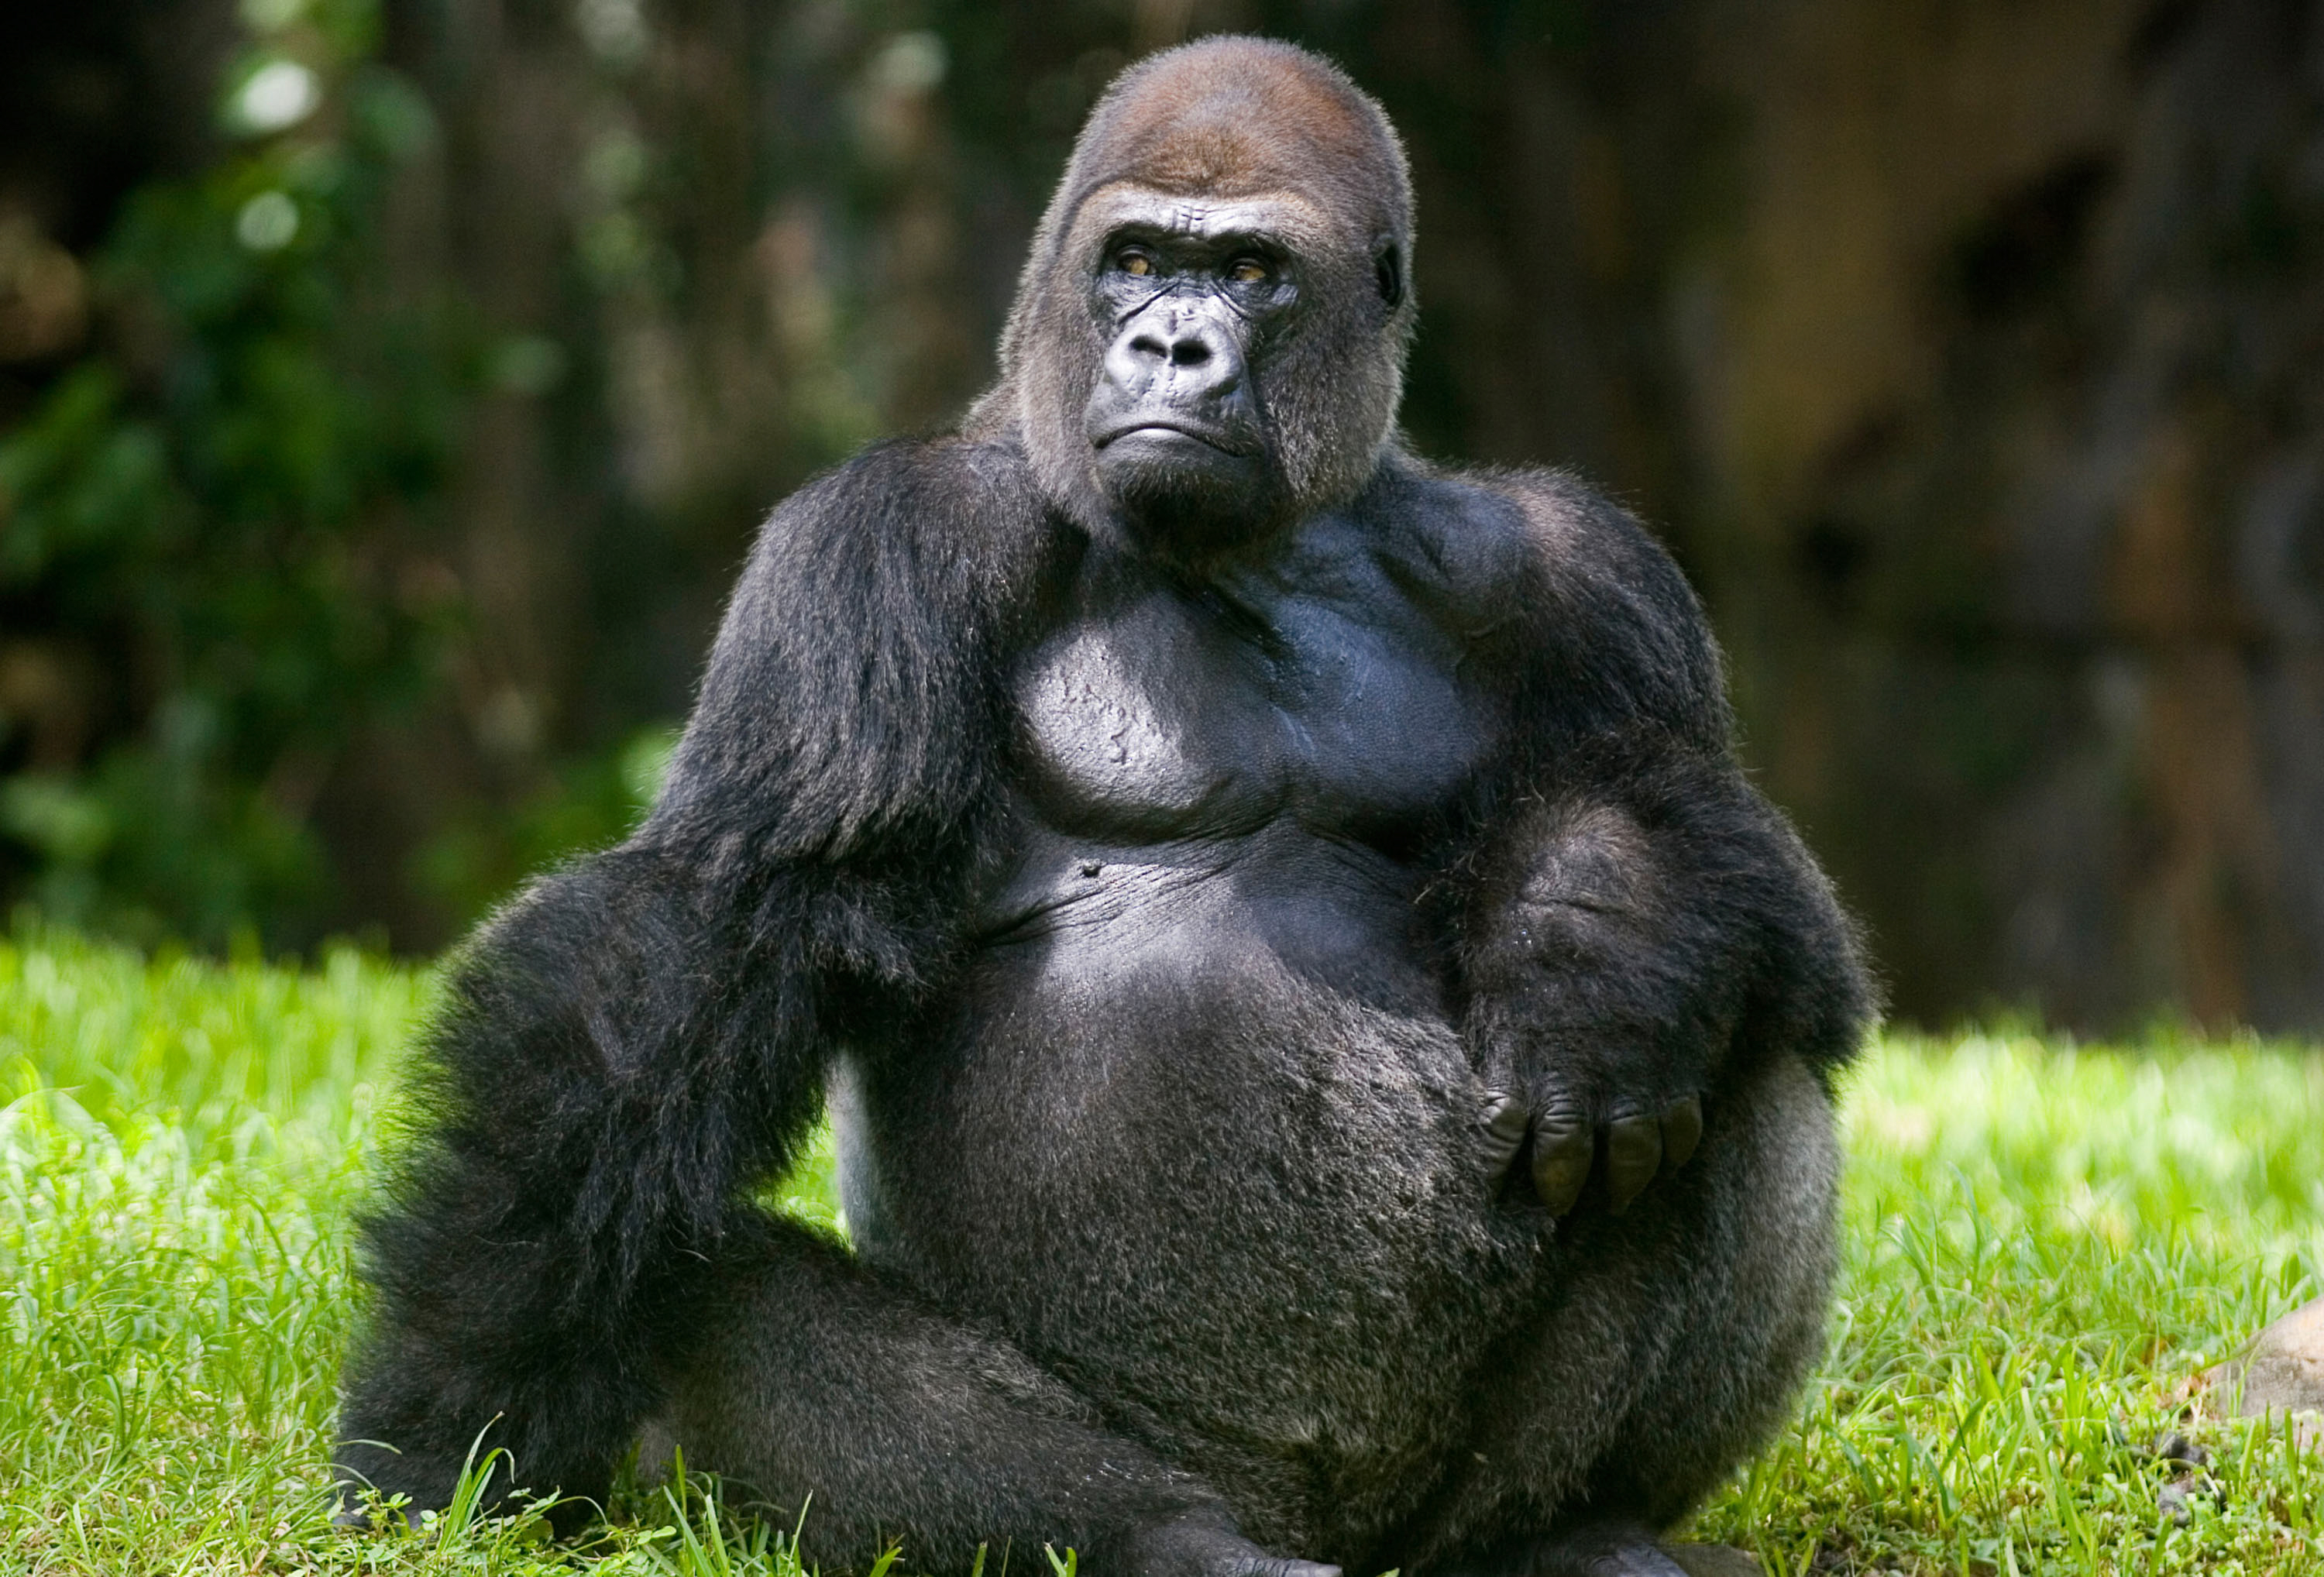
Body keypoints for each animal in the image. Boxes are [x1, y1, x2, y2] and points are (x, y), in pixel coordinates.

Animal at [335, 36, 1870, 1577]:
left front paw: (1593, 926)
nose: (1173, 349)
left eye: (1250, 273)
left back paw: (1567, 1528)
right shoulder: (880, 538)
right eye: (1135, 262)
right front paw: (444, 1419)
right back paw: (1165, 1537)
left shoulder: (1579, 568)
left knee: (1745, 1049)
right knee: (699, 1285)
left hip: (1433, 1502)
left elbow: (1745, 865)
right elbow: (718, 926)